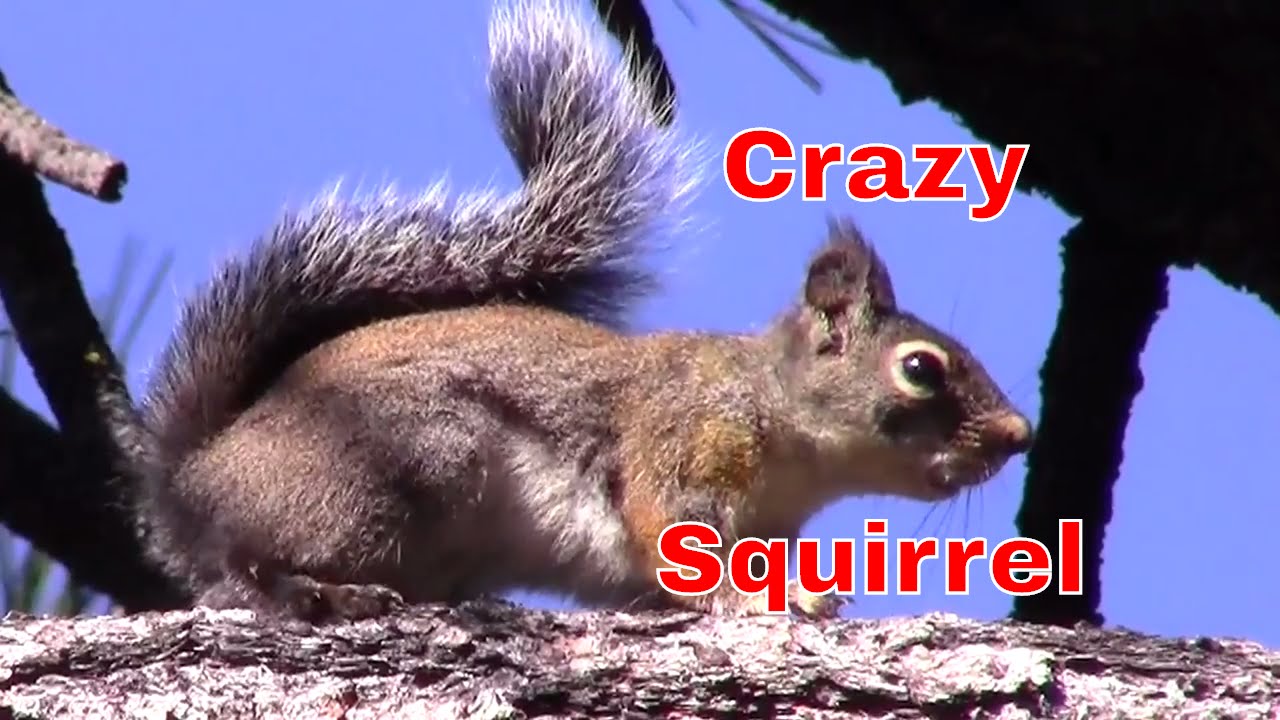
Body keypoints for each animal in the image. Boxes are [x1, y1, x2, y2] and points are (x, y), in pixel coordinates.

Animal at [133, 0, 1034, 623]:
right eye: (921, 369)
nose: (1018, 436)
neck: (780, 422)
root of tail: (194, 476)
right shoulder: (683, 436)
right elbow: (677, 535)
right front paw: (767, 602)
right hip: (388, 465)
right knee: (238, 567)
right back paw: (308, 592)